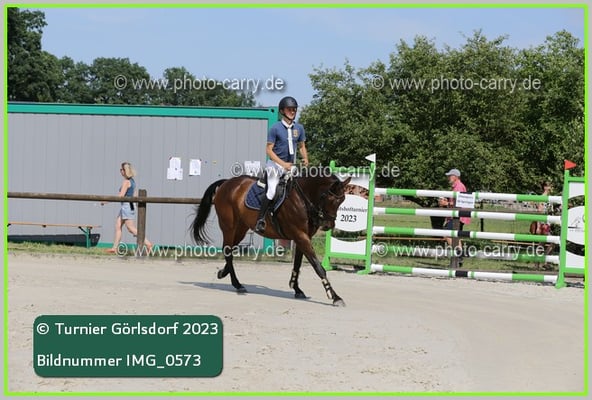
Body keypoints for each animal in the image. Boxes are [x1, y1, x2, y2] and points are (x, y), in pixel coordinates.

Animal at [191, 173, 351, 306]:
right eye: (330, 199)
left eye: (342, 200)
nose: (328, 225)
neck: (302, 198)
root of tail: (227, 183)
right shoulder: (300, 235)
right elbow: (318, 267)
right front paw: (335, 296)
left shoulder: (302, 237)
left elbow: (297, 264)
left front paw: (296, 288)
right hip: (229, 226)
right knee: (228, 250)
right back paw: (237, 284)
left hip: (241, 228)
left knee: (230, 249)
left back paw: (223, 273)